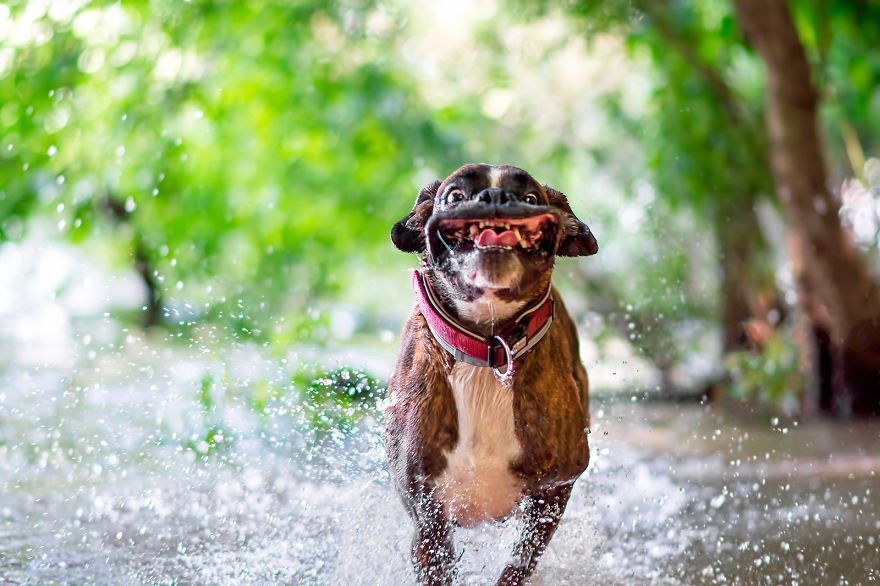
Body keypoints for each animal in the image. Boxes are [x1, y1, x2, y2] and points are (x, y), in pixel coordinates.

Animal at [384, 162, 600, 580]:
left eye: (530, 197)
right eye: (455, 195)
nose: (495, 197)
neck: (488, 346)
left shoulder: (554, 490)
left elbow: (518, 564)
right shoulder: (428, 518)